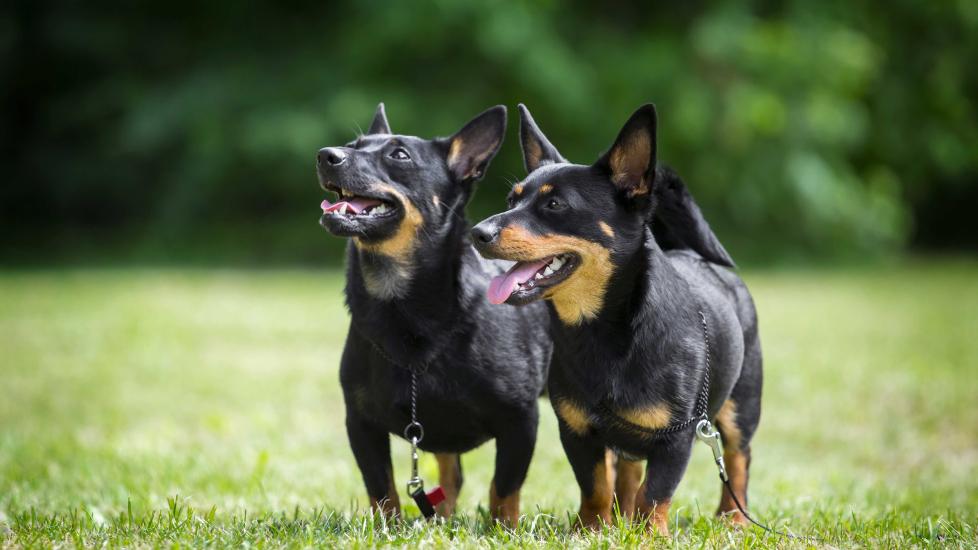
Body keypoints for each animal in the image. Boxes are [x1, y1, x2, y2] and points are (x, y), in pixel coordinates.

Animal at [318, 104, 552, 528]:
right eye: (353, 145)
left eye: (399, 155)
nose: (326, 155)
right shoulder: (361, 424)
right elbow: (383, 490)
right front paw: (389, 530)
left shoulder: (521, 421)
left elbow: (504, 490)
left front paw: (504, 531)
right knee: (451, 475)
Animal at [472, 103, 764, 536]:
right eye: (512, 199)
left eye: (555, 206)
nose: (478, 232)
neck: (602, 332)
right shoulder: (578, 432)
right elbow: (595, 486)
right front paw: (591, 530)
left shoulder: (677, 439)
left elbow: (655, 494)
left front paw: (650, 536)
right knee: (627, 472)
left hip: (740, 408)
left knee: (739, 460)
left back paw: (733, 518)